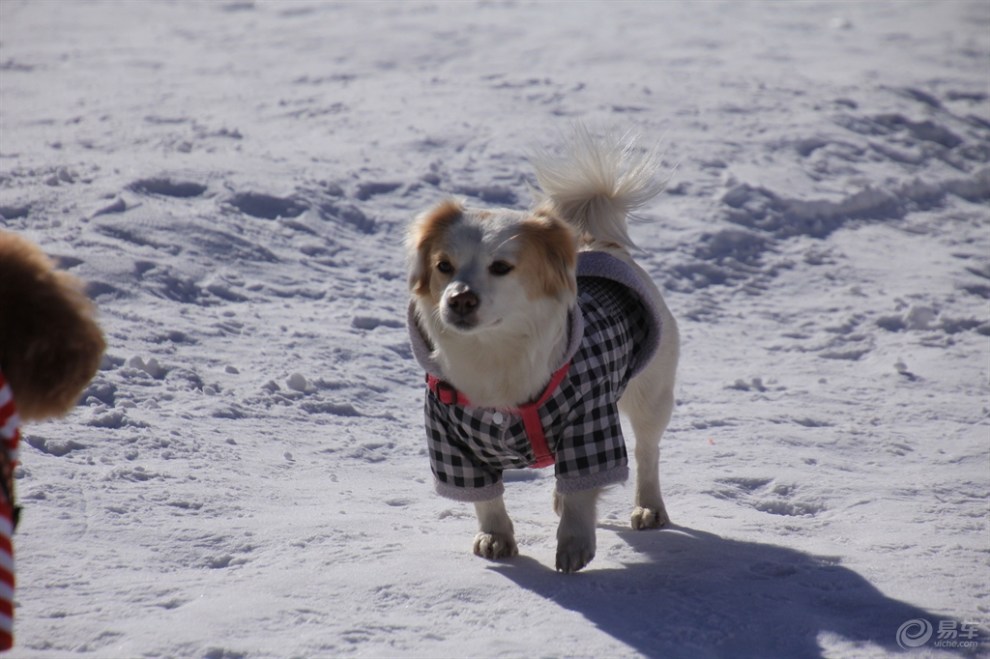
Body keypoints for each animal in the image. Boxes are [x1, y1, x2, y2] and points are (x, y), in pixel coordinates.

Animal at [406, 129, 680, 572]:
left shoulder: (590, 422)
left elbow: (583, 491)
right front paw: (495, 537)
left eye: (501, 267)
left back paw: (648, 507)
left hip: (650, 393)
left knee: (646, 451)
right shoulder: (450, 442)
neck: (495, 355)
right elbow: (486, 498)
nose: (459, 298)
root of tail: (595, 242)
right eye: (443, 265)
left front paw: (574, 544)